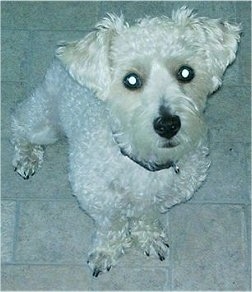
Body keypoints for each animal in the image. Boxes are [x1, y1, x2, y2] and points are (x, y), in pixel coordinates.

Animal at [11, 6, 240, 276]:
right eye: (131, 80)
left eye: (186, 73)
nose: (168, 125)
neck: (143, 159)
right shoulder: (98, 198)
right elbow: (112, 225)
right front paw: (106, 251)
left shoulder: (161, 199)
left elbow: (147, 216)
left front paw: (148, 236)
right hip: (44, 125)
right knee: (19, 124)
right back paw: (26, 157)